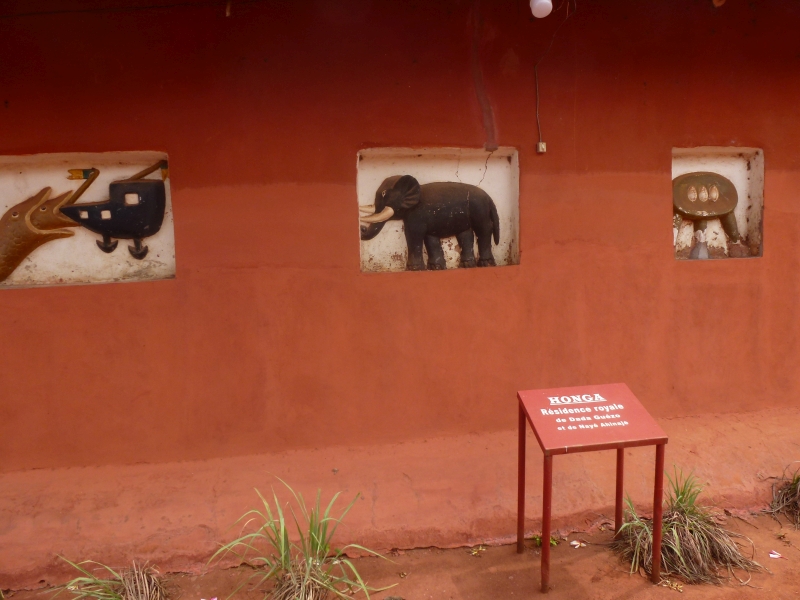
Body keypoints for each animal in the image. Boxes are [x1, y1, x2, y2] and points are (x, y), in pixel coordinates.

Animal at [359, 175, 500, 271]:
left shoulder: (416, 215)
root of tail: (489, 198)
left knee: (484, 230)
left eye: (384, 193)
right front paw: (436, 267)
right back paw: (467, 265)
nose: (362, 228)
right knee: (466, 234)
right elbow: (430, 237)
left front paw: (414, 269)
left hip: (480, 210)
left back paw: (486, 264)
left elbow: (413, 235)